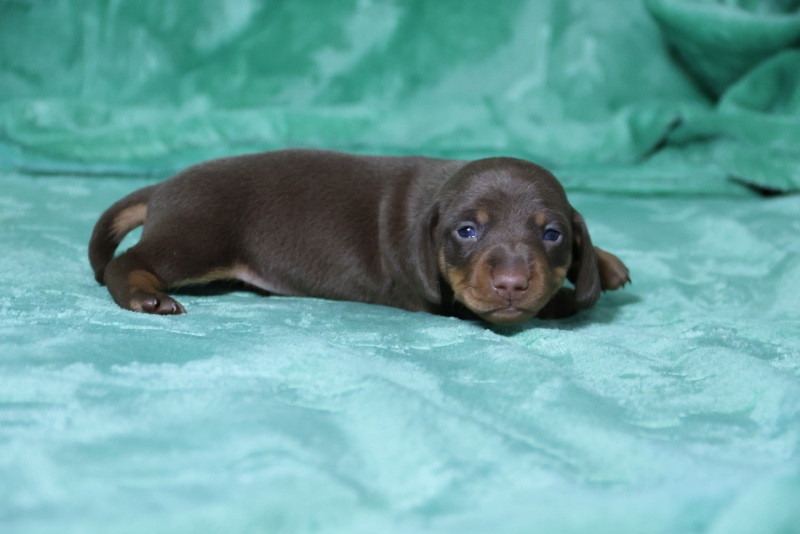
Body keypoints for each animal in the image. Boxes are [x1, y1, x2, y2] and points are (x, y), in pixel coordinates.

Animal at [89, 149, 630, 326]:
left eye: (553, 233)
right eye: (467, 231)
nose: (513, 284)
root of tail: (163, 187)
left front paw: (603, 261)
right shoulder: (450, 301)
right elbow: (563, 303)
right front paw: (573, 293)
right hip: (198, 236)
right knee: (128, 262)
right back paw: (142, 295)